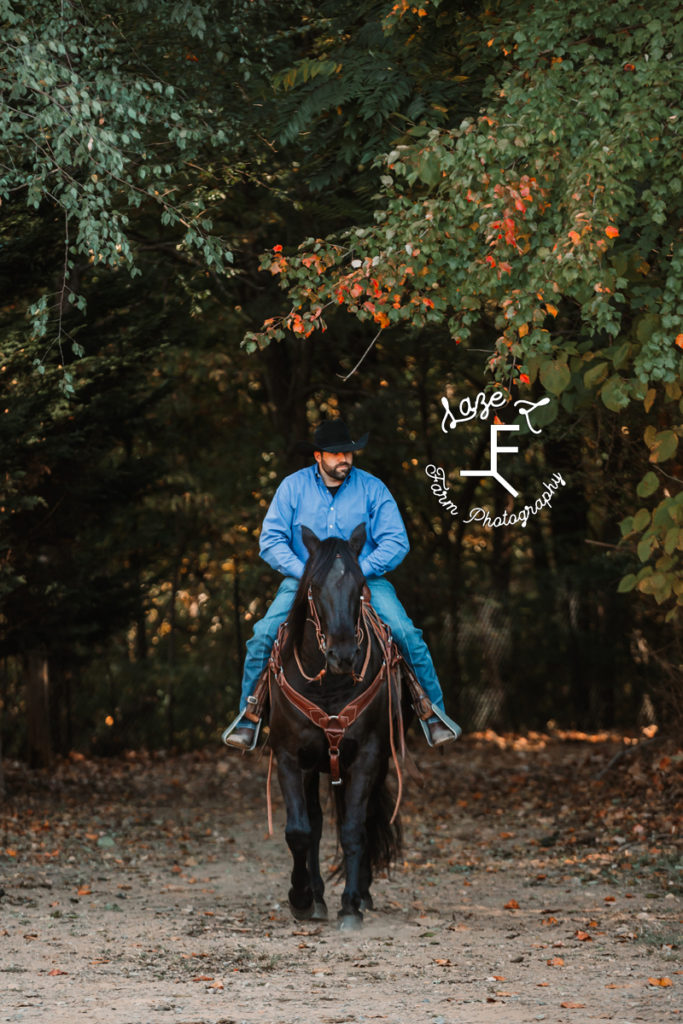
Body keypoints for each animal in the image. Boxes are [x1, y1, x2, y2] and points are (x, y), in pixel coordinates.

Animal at [266, 524, 403, 933]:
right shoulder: (289, 757)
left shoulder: (369, 756)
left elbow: (354, 829)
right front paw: (301, 899)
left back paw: (361, 894)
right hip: (315, 766)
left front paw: (350, 906)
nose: (343, 655)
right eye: (313, 585)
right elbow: (299, 831)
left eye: (360, 585)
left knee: (362, 818)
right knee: (314, 822)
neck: (328, 685)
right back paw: (317, 897)